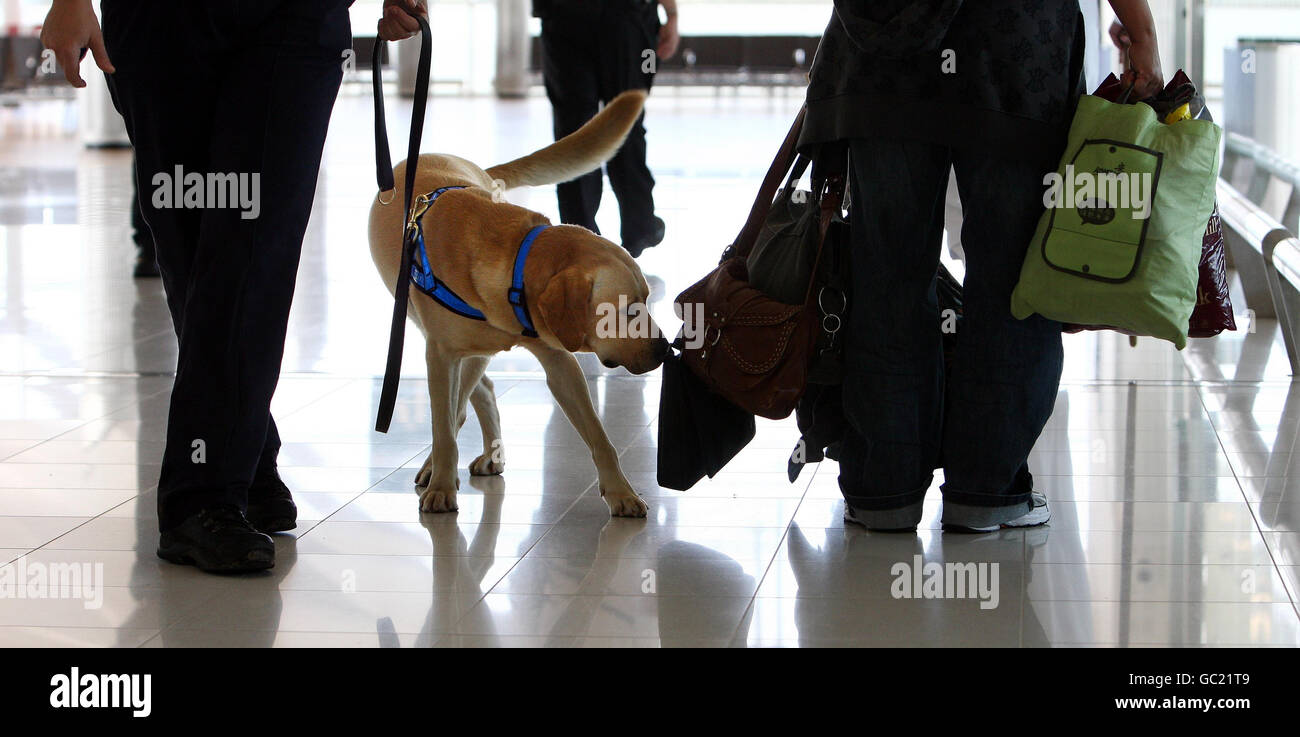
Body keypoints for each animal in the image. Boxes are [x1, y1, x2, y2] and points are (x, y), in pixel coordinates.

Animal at [369, 90, 665, 519]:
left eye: (646, 301)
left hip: (477, 349)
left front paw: (621, 491)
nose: (666, 350)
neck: (515, 263)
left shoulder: (558, 359)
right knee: (459, 408)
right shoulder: (440, 355)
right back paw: (439, 467)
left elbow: (598, 435)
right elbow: (443, 427)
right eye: (626, 311)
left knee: (477, 393)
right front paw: (441, 485)